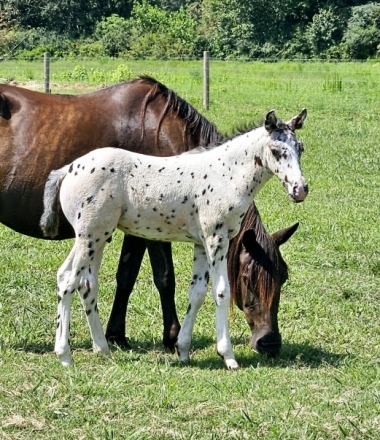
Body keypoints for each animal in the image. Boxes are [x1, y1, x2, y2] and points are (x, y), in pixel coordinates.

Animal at [0, 76, 296, 358]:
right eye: (249, 278)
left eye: (283, 276)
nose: (270, 342)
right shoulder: (151, 232)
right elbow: (163, 278)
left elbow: (127, 276)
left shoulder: (138, 230)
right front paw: (171, 336)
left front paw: (116, 335)